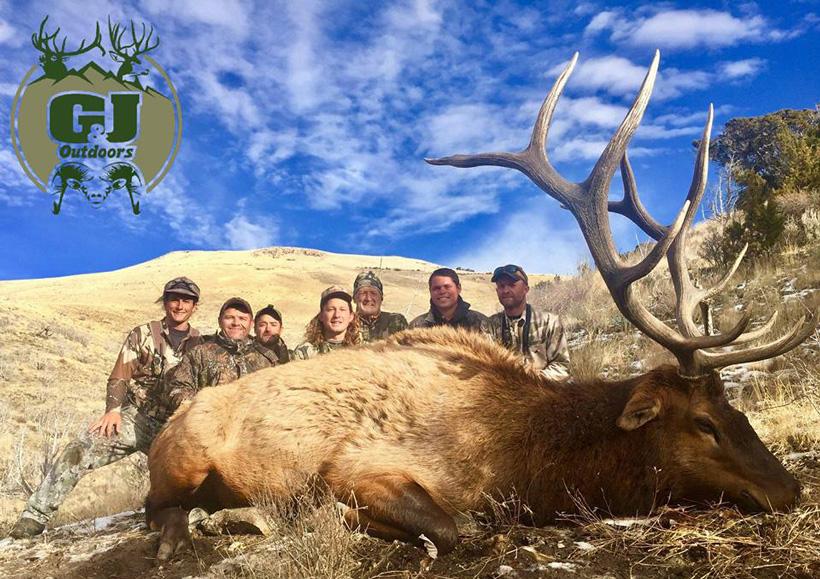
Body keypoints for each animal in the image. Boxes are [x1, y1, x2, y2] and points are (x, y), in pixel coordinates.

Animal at [145, 51, 817, 560]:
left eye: (734, 410)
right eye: (703, 423)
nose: (790, 489)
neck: (524, 455)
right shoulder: (360, 468)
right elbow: (457, 528)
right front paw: (333, 518)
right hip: (181, 460)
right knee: (160, 509)